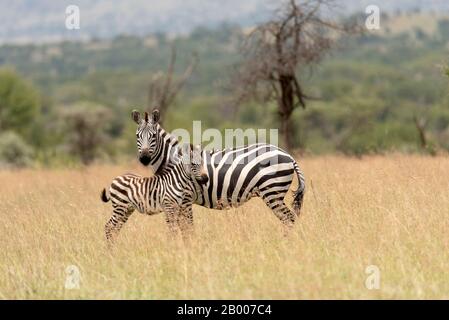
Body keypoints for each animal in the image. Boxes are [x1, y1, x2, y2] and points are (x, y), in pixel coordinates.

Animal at [130, 110, 304, 228]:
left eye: (153, 136)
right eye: (137, 136)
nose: (144, 158)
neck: (174, 161)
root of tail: (288, 155)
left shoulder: (185, 199)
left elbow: (187, 228)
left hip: (272, 191)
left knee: (289, 219)